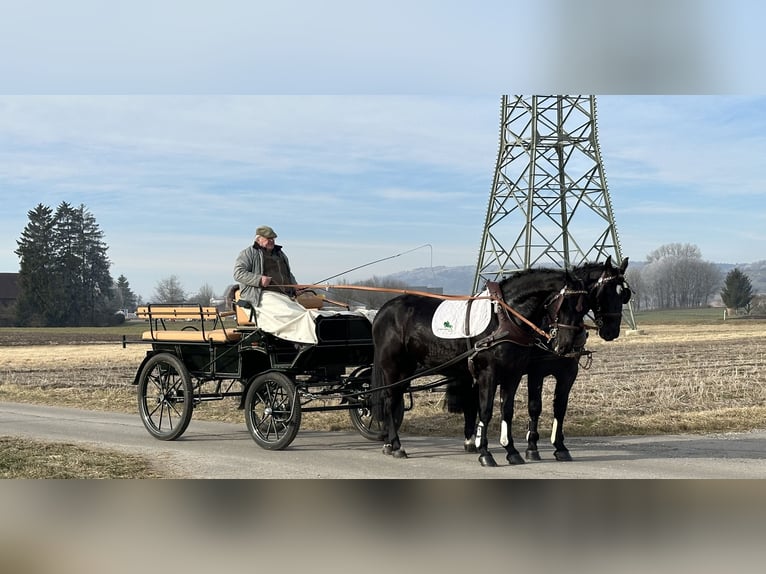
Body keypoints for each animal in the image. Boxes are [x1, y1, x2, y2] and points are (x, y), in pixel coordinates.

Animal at [372, 268, 592, 468]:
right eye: (566, 303)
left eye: (584, 306)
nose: (567, 345)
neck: (505, 318)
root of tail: (382, 311)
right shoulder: (490, 374)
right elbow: (485, 411)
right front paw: (485, 453)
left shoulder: (513, 374)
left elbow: (507, 411)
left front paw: (512, 451)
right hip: (393, 367)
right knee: (390, 402)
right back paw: (397, 445)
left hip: (405, 369)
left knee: (392, 400)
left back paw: (389, 444)